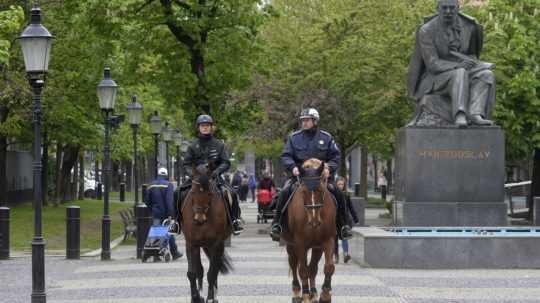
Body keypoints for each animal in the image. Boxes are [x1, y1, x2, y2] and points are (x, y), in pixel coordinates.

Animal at [181, 166, 232, 303]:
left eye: (209, 194)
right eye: (193, 192)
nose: (199, 219)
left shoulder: (216, 244)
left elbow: (212, 272)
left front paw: (210, 297)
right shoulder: (191, 244)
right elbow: (192, 273)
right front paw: (196, 297)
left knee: (215, 268)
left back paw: (213, 296)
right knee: (201, 270)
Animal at [280, 159, 336, 303]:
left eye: (320, 189)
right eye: (304, 191)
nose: (314, 221)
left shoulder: (327, 241)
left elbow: (328, 267)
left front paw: (325, 294)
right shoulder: (300, 243)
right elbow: (302, 270)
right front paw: (305, 295)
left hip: (316, 248)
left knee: (313, 268)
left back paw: (314, 293)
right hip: (291, 245)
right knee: (294, 265)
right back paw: (297, 293)